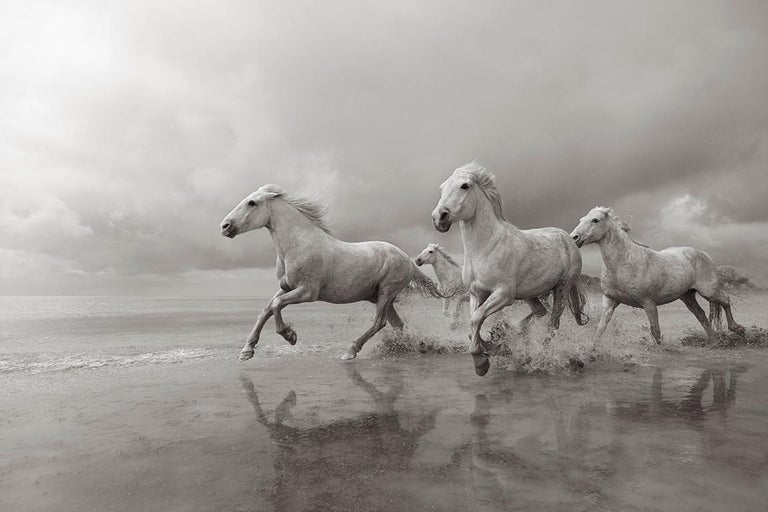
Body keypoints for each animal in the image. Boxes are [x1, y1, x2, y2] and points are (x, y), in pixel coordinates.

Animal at [220, 184, 445, 361]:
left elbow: (276, 305)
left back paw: (351, 351)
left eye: (252, 203)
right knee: (396, 324)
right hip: (379, 297)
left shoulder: (307, 292)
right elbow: (266, 309)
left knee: (379, 323)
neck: (297, 245)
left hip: (386, 292)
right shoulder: (286, 287)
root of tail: (409, 261)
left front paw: (290, 335)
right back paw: (409, 347)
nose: (225, 226)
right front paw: (246, 351)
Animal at [431, 163, 589, 376]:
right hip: (531, 293)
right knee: (540, 312)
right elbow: (473, 324)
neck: (485, 247)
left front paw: (482, 363)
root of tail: (569, 239)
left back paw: (541, 359)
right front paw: (495, 346)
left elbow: (476, 319)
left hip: (561, 289)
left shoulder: (504, 294)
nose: (439, 217)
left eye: (465, 186)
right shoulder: (476, 293)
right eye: (441, 187)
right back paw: (518, 335)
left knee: (552, 325)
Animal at [569, 206, 745, 344]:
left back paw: (738, 329)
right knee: (701, 315)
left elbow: (656, 332)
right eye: (582, 219)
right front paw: (591, 353)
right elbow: (599, 330)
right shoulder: (610, 301)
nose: (574, 238)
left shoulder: (649, 304)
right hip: (687, 296)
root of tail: (704, 254)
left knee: (725, 300)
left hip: (708, 291)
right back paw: (713, 341)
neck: (624, 263)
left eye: (595, 220)